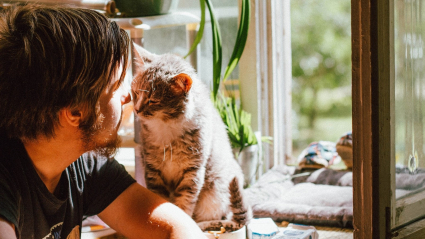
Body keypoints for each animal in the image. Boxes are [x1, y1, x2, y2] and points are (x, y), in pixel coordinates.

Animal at [131, 43, 252, 228]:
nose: (136, 110)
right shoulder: (153, 169)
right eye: (136, 93)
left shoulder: (193, 172)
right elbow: (162, 201)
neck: (166, 128)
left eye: (153, 100)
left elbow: (184, 203)